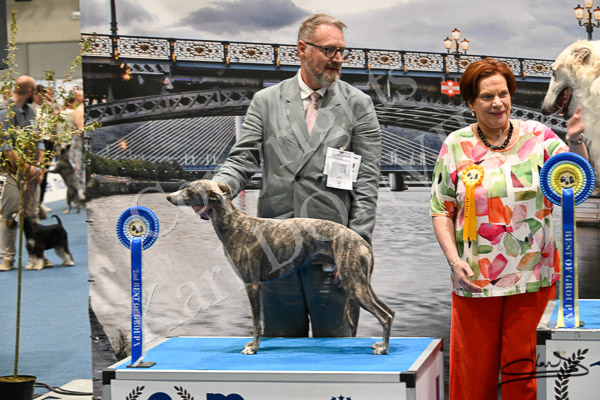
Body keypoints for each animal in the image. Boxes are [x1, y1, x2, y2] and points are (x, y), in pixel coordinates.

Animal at [167, 180, 394, 355]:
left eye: (189, 190)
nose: (168, 196)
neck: (235, 225)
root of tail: (362, 242)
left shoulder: (252, 284)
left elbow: (256, 322)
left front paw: (253, 348)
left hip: (354, 285)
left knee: (384, 315)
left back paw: (383, 348)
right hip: (362, 283)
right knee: (390, 312)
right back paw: (381, 343)